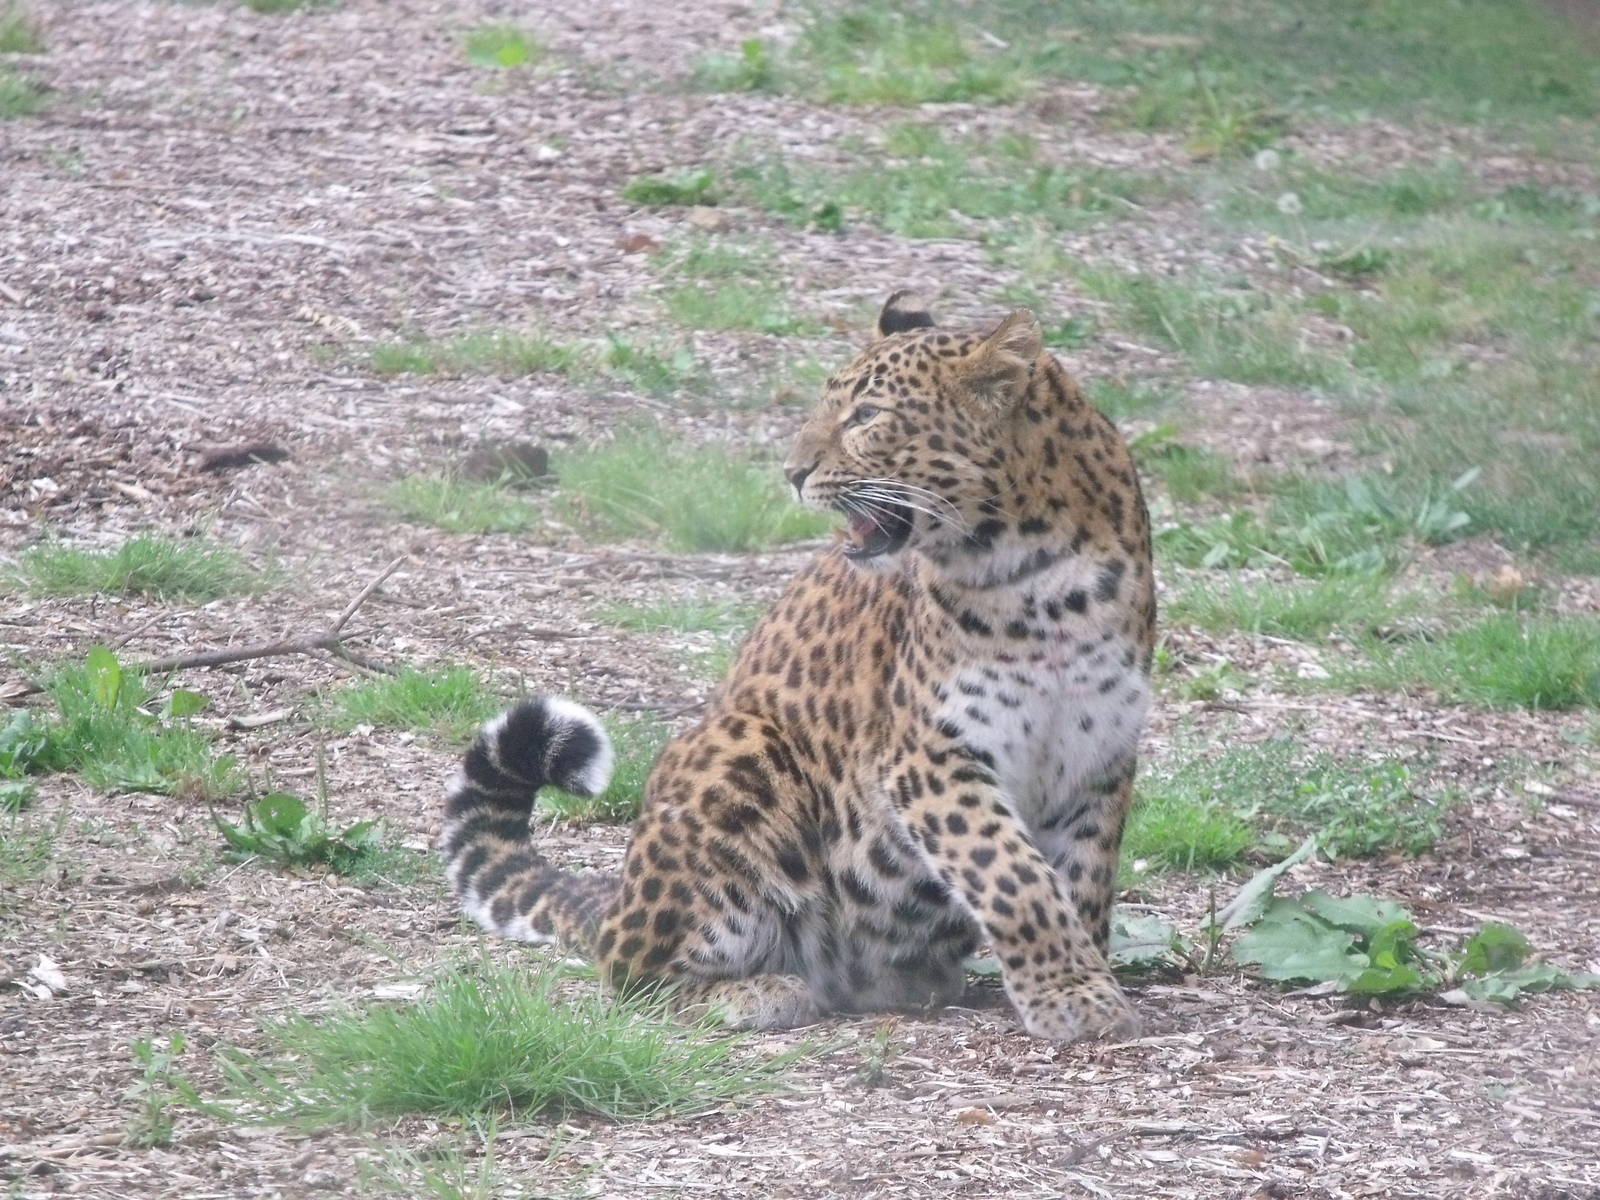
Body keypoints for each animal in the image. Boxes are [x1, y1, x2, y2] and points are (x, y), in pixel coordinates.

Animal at [441, 291, 1156, 1041]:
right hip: (742, 749)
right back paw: (756, 992)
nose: (793, 473)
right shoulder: (929, 753)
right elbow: (1011, 874)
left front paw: (1081, 977)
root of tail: (617, 905)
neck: (1044, 577)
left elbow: (1082, 880)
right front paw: (1072, 993)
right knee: (632, 977)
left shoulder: (1099, 755)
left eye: (868, 416)